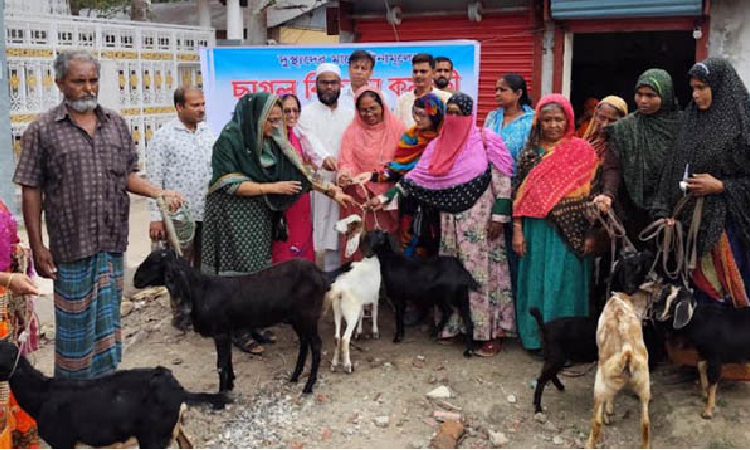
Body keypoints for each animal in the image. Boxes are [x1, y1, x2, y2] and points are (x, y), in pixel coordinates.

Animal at [135, 250, 328, 394]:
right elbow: (228, 360)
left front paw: (222, 393)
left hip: (308, 315)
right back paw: (295, 376)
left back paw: (308, 386)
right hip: (297, 318)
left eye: (154, 262)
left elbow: (221, 365)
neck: (201, 291)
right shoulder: (226, 332)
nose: (136, 279)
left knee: (316, 345)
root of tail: (320, 274)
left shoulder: (220, 332)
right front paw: (230, 385)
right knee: (304, 342)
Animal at [532, 248, 656, 414]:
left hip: (555, 356)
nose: (630, 287)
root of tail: (544, 326)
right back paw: (538, 407)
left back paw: (559, 387)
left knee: (549, 374)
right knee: (542, 379)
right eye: (623, 270)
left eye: (638, 267)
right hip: (556, 356)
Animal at [656, 284, 750, 418]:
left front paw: (708, 411)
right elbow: (701, 368)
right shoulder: (703, 353)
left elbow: (713, 379)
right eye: (664, 298)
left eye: (675, 302)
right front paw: (705, 395)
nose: (658, 315)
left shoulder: (715, 356)